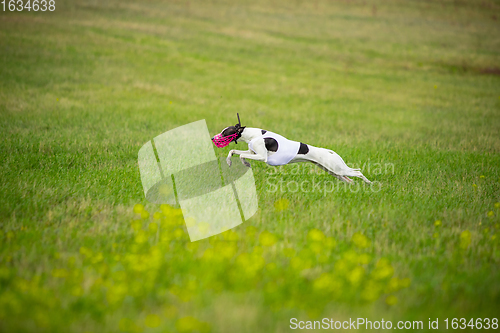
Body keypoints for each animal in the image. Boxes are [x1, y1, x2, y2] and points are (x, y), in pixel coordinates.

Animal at [211, 113, 372, 183]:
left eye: (225, 132)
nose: (212, 138)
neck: (253, 134)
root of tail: (329, 152)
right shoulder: (252, 151)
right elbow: (233, 151)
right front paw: (229, 161)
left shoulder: (262, 156)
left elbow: (241, 155)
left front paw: (245, 163)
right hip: (332, 171)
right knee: (349, 179)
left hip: (337, 168)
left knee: (358, 172)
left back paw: (370, 184)